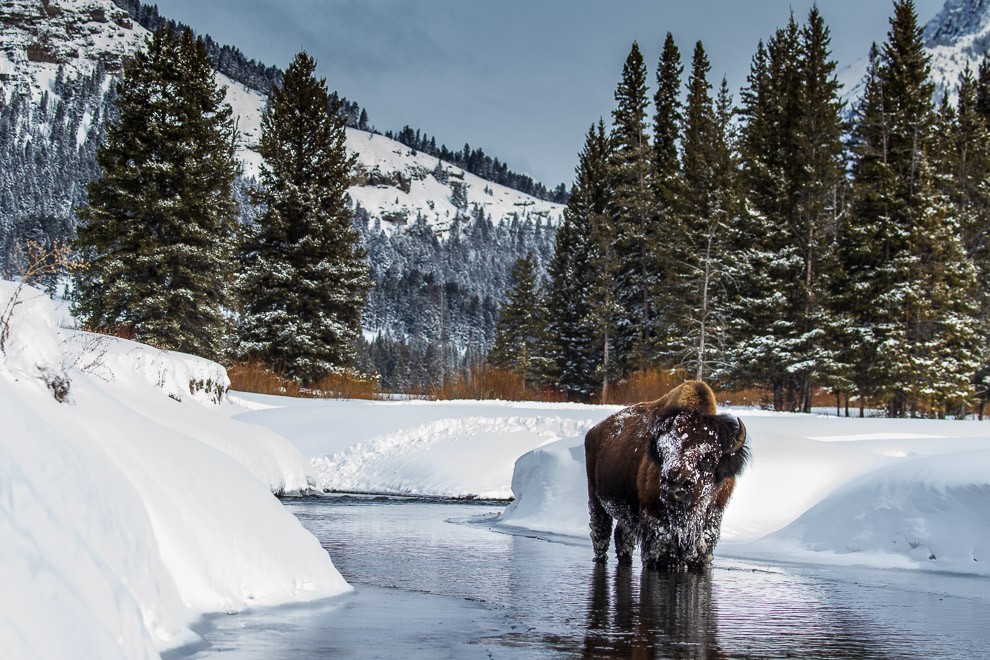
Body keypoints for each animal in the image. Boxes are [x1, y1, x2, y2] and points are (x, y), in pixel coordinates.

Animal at [580, 378, 752, 568]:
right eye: (663, 452)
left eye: (708, 458)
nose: (672, 490)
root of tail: (594, 431)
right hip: (596, 500)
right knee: (600, 535)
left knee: (622, 537)